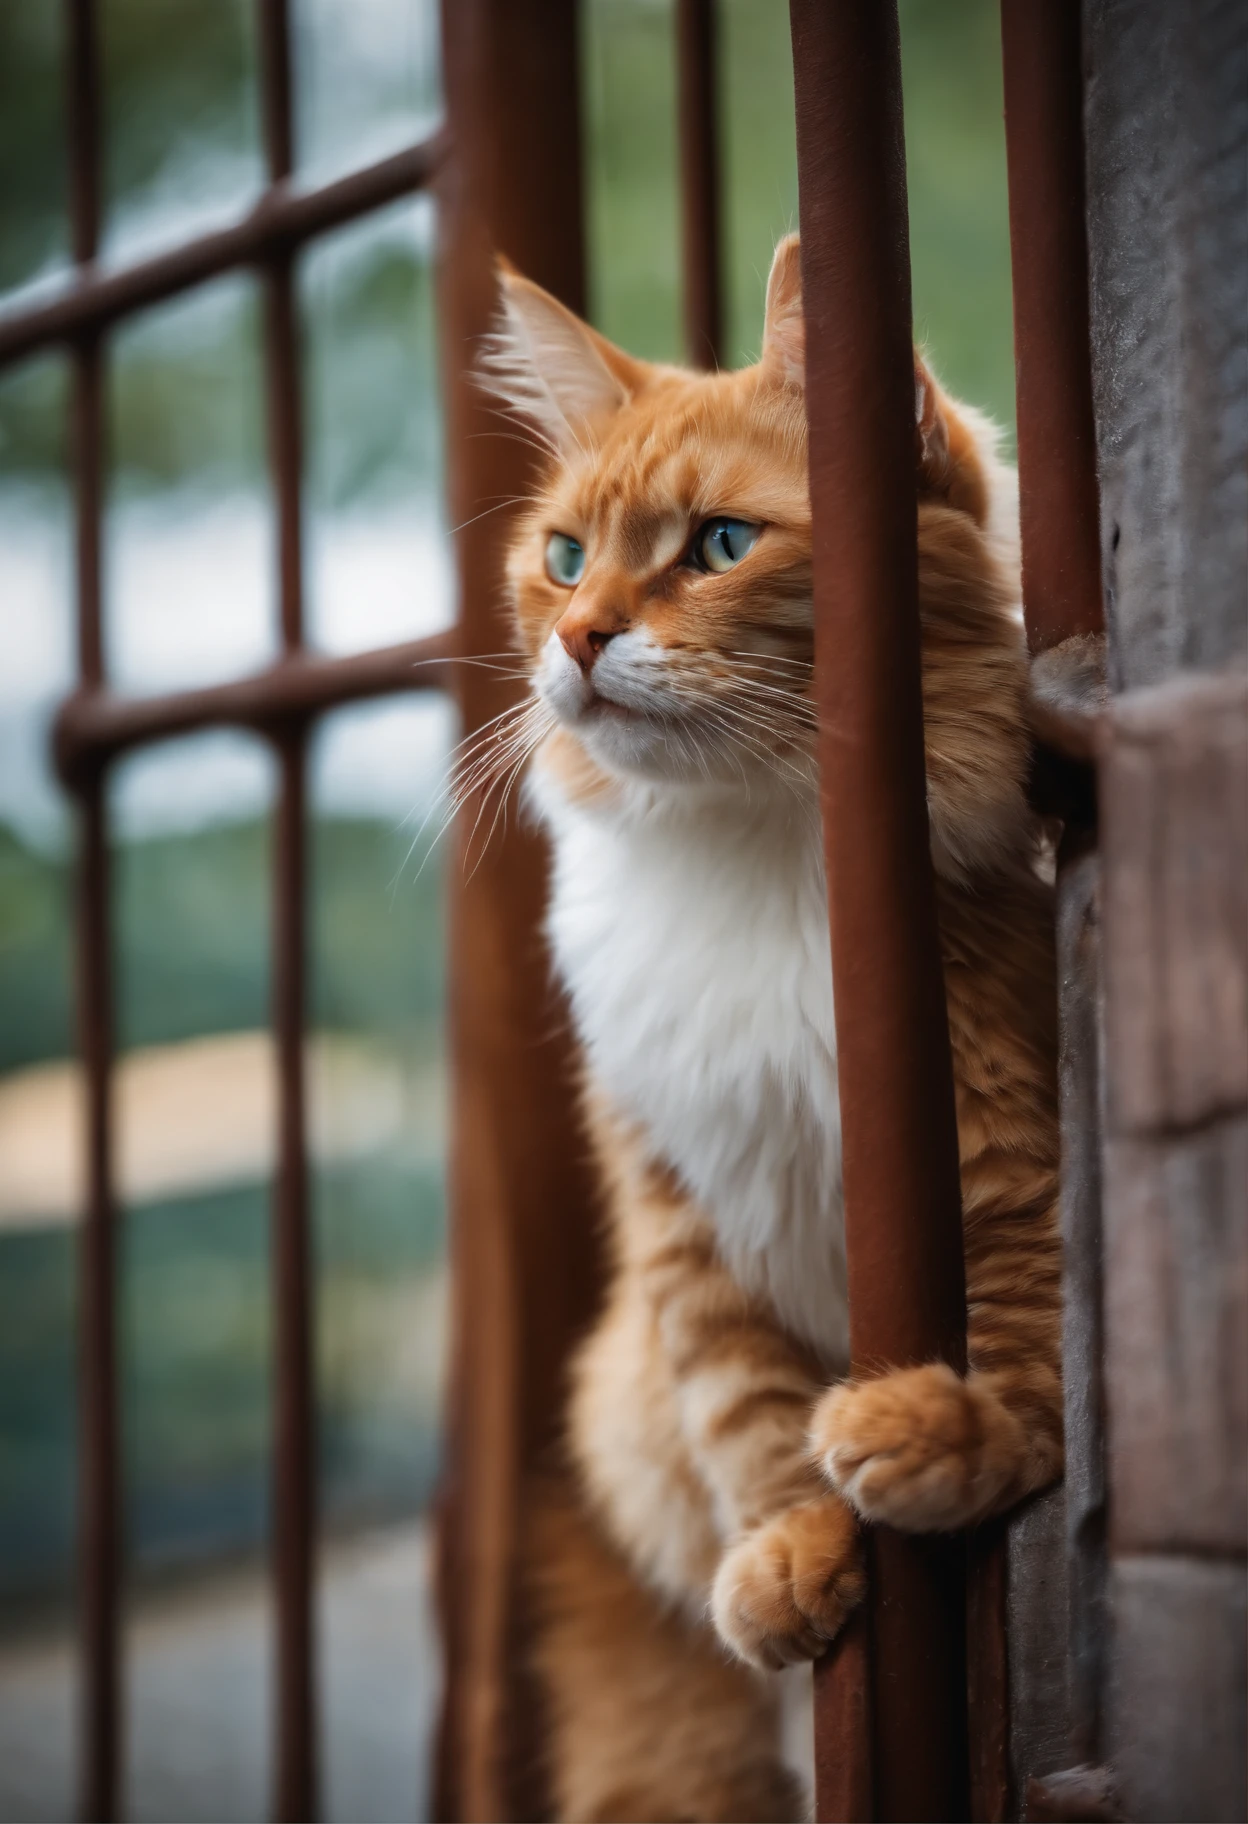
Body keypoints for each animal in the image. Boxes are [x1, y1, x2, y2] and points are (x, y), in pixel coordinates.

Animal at [478, 235, 1065, 1816]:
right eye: (565, 557)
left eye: (723, 546)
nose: (579, 638)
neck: (744, 838)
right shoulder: (680, 1196)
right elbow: (745, 1409)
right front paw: (793, 1551)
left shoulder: (1006, 1133)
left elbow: (1035, 1322)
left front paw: (956, 1435)